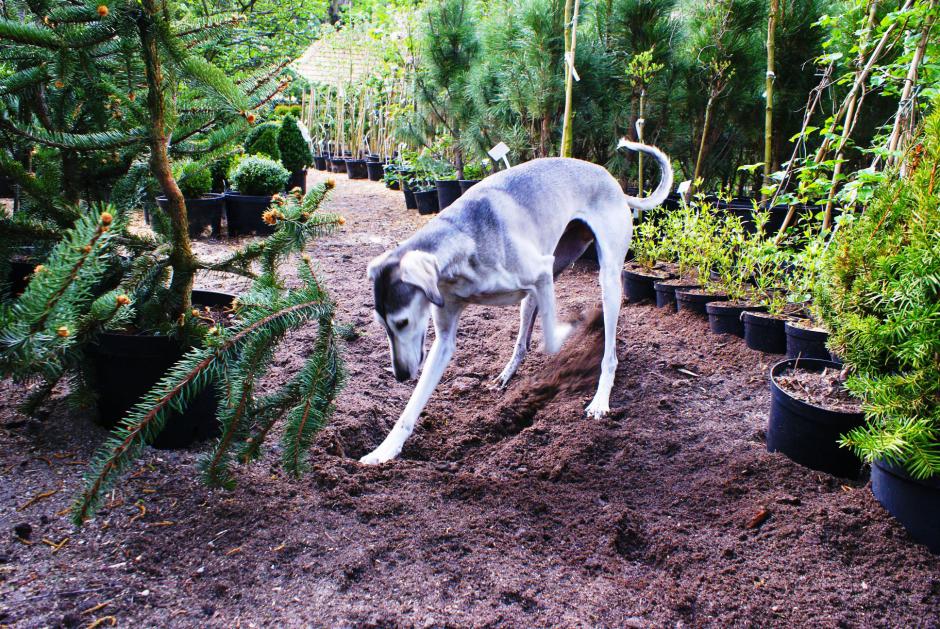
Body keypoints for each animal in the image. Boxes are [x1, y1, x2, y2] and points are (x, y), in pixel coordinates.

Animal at [360, 144, 676, 466]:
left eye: (402, 322)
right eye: (383, 325)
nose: (400, 375)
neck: (463, 239)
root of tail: (613, 182)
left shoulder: (541, 273)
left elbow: (553, 339)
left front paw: (574, 331)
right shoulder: (446, 337)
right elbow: (413, 404)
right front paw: (385, 449)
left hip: (606, 278)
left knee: (608, 353)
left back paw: (600, 397)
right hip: (544, 279)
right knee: (522, 343)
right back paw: (507, 375)